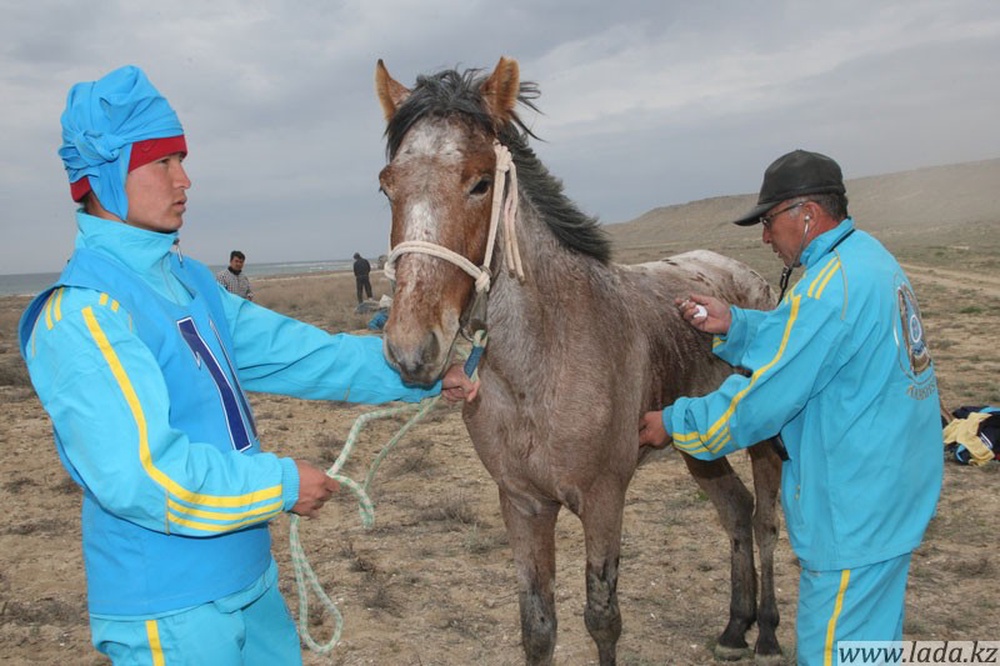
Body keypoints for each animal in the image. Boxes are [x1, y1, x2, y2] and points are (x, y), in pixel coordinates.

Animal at [374, 58, 780, 664]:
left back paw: (769, 631)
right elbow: (538, 625)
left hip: (766, 438)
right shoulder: (522, 504)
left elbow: (602, 618)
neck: (540, 367)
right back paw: (735, 627)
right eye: (387, 186)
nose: (410, 348)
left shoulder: (603, 500)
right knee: (736, 510)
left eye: (480, 181)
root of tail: (748, 277)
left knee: (768, 523)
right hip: (699, 446)